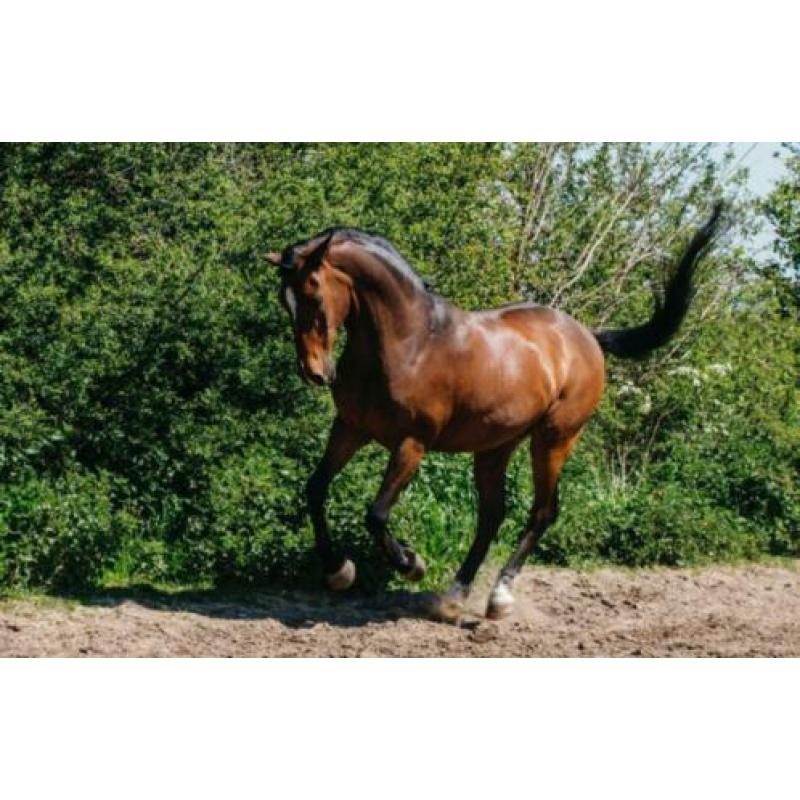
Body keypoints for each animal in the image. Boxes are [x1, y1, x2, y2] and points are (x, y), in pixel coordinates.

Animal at [266, 204, 723, 622]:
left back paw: (498, 598)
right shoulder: (350, 428)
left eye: (313, 292)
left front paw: (411, 564)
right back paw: (454, 596)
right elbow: (315, 489)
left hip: (554, 439)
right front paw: (339, 572)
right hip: (495, 446)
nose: (315, 372)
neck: (410, 341)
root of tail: (587, 338)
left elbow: (376, 515)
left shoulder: (411, 443)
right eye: (284, 301)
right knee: (491, 515)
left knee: (541, 512)